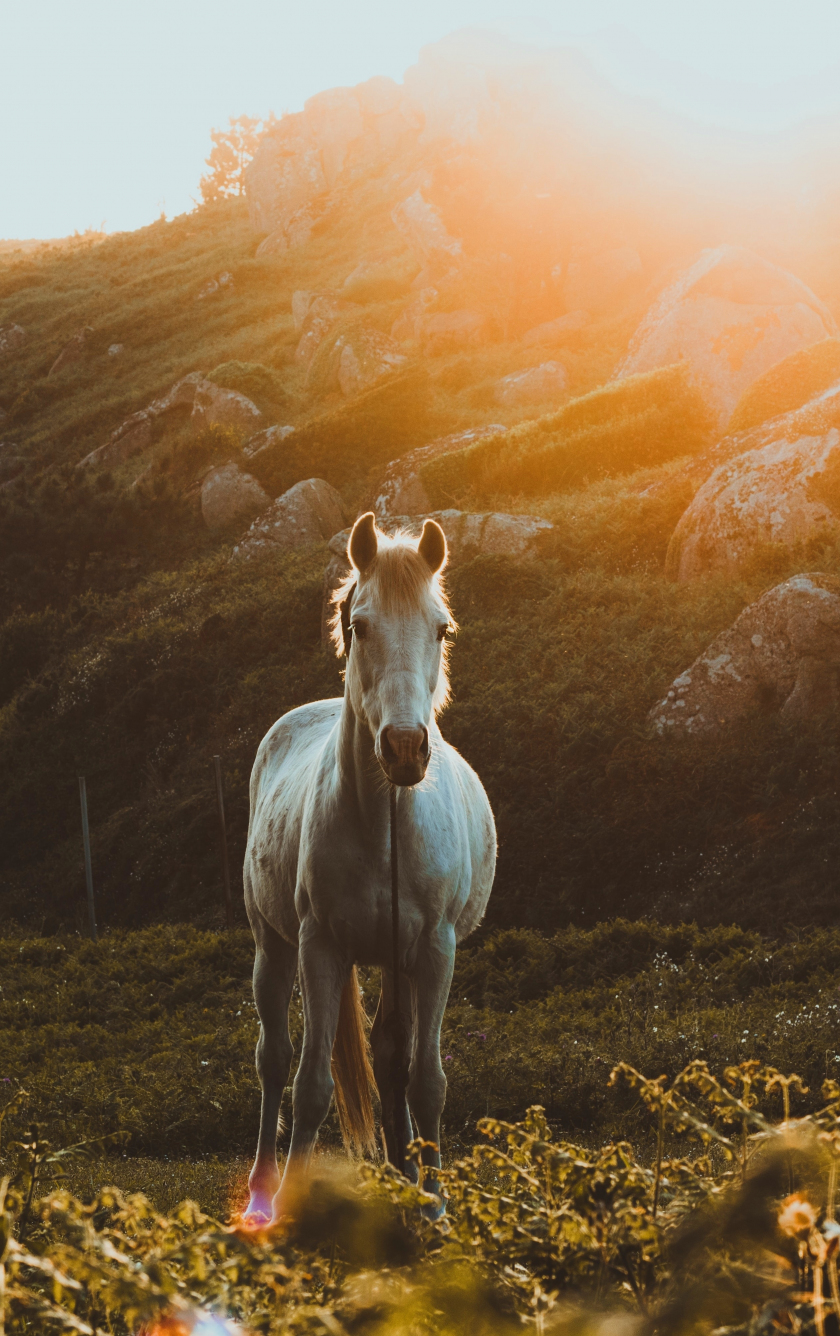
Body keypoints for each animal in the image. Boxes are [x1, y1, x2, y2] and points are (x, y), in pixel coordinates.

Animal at [242, 511, 496, 1222]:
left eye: (441, 628)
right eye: (360, 626)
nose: (406, 748)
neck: (385, 825)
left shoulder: (434, 950)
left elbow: (425, 1080)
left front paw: (434, 1206)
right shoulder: (320, 947)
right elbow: (310, 1086)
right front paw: (291, 1209)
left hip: (396, 961)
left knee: (390, 1061)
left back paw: (403, 1178)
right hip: (273, 946)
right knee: (274, 1061)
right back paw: (262, 1193)